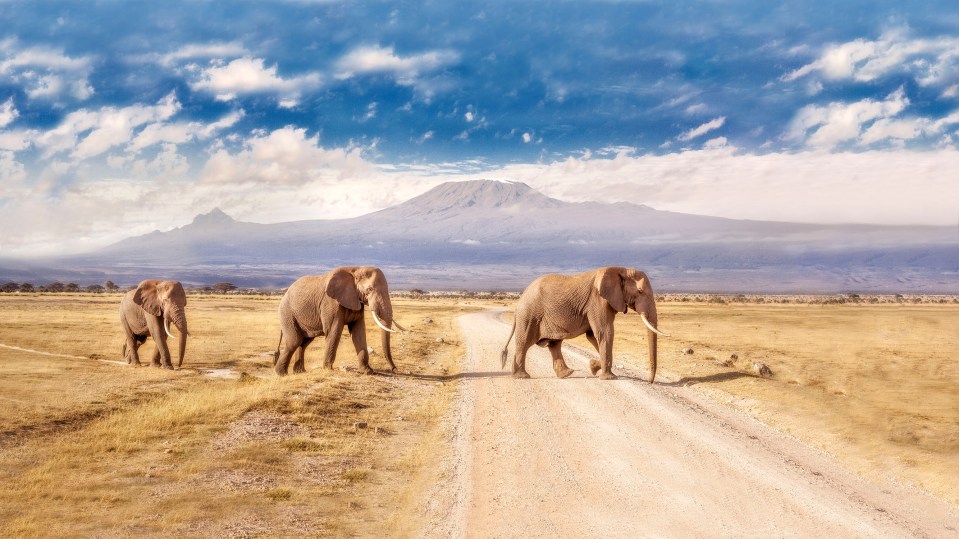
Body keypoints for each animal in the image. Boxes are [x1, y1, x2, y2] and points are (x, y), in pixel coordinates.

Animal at [274, 266, 404, 376]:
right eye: (369, 289)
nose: (395, 369)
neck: (356, 269)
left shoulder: (355, 300)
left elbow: (359, 331)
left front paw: (367, 371)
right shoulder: (331, 303)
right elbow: (334, 331)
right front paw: (328, 369)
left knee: (304, 342)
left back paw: (299, 372)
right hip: (287, 313)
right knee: (294, 341)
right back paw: (281, 374)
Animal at [502, 268, 668, 382]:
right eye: (639, 291)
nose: (650, 381)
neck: (620, 269)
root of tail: (521, 298)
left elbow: (593, 336)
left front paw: (594, 367)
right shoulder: (598, 301)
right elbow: (605, 332)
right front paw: (609, 378)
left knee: (554, 344)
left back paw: (566, 374)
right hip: (529, 316)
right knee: (524, 343)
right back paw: (522, 376)